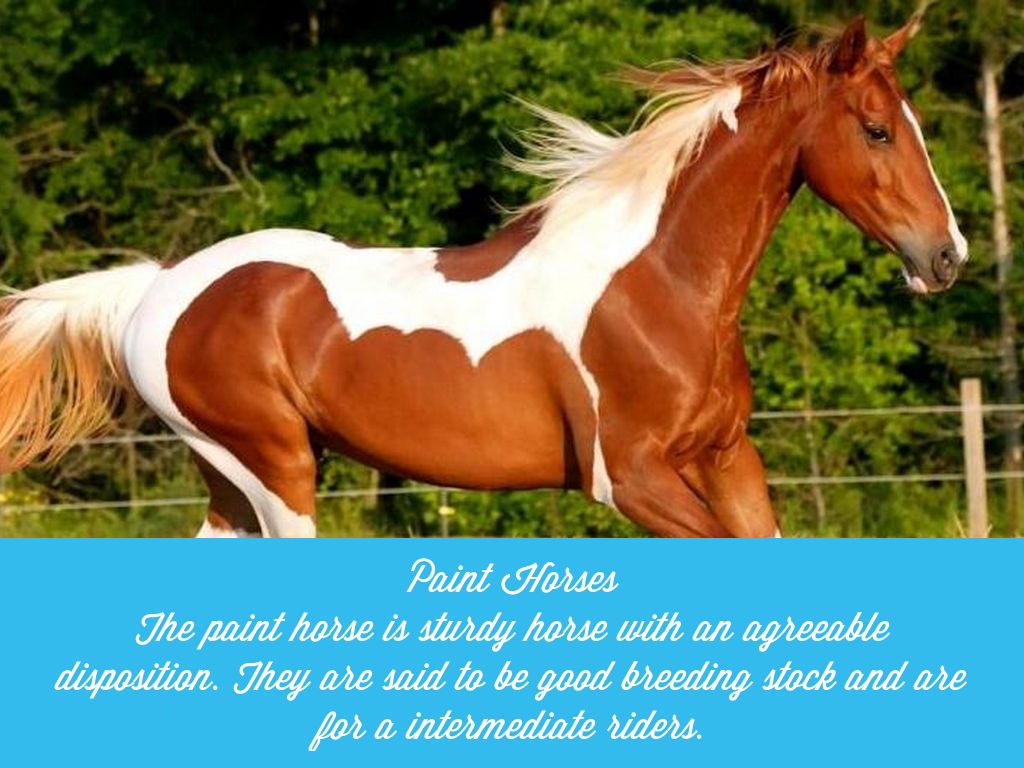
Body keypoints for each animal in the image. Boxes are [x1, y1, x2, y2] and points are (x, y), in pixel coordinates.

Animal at [0, 16, 967, 538]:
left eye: (915, 123)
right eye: (877, 128)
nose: (946, 256)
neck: (660, 286)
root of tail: (156, 286)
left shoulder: (728, 457)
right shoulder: (632, 477)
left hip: (232, 477)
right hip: (272, 465)